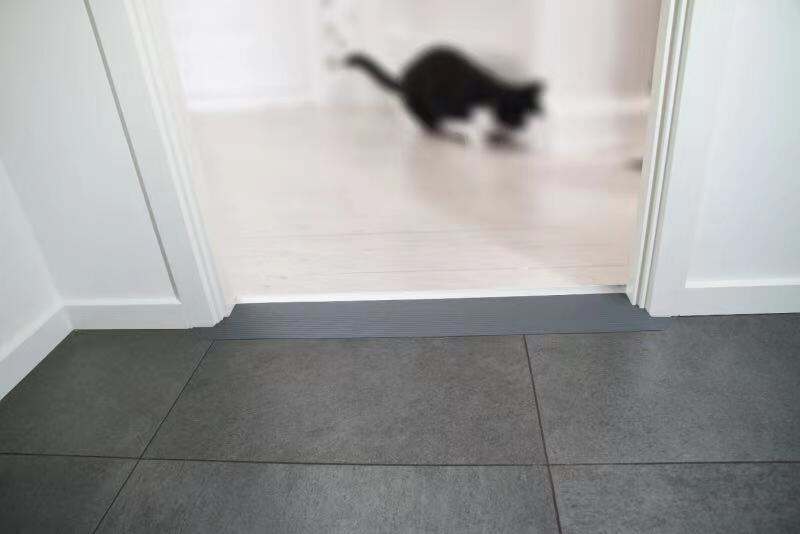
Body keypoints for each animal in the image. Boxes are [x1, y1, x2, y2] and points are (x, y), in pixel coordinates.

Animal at [345, 45, 544, 144]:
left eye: (539, 113)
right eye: (522, 118)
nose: (529, 129)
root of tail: (404, 77)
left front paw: (499, 135)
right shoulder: (447, 102)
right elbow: (467, 120)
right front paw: (473, 133)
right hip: (419, 101)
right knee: (426, 119)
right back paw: (441, 132)